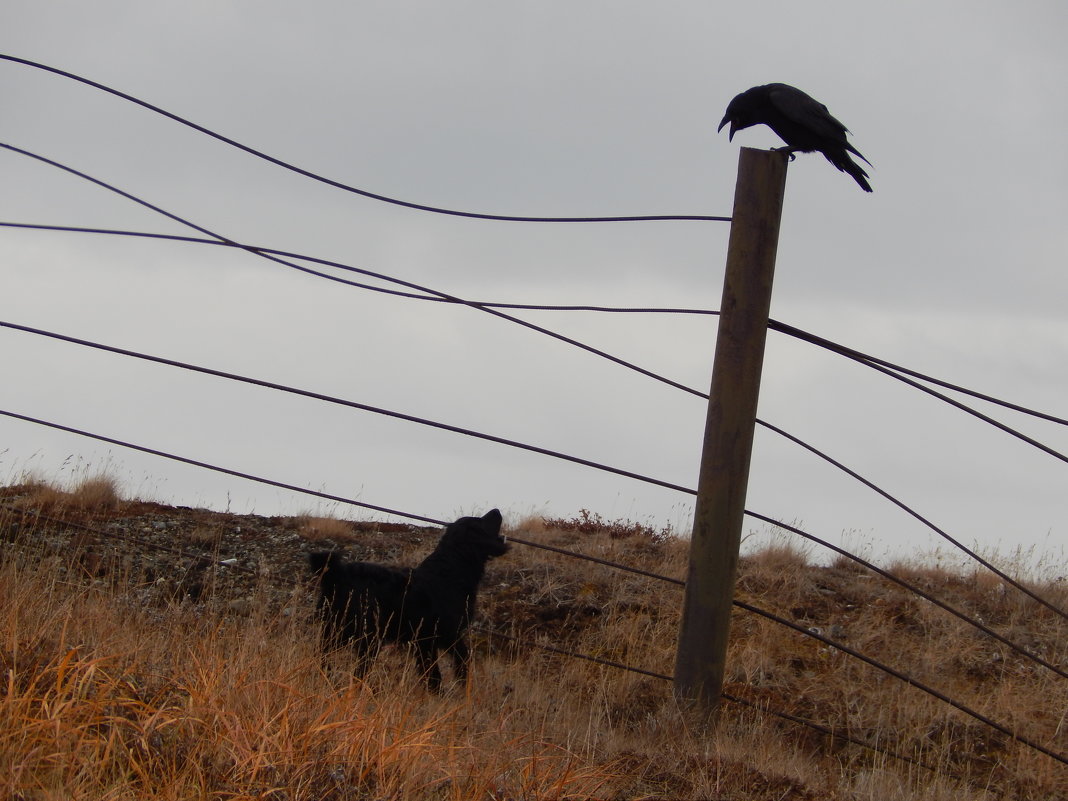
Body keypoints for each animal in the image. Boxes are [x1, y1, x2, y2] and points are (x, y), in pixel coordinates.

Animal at [309, 510, 508, 692]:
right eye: (479, 521)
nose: (497, 510)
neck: (450, 572)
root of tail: (336, 575)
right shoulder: (447, 634)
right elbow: (462, 659)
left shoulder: (424, 642)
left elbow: (433, 674)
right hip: (367, 636)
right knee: (358, 670)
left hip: (336, 631)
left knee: (323, 657)